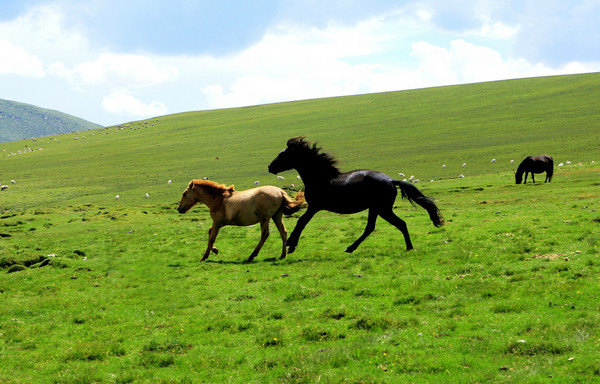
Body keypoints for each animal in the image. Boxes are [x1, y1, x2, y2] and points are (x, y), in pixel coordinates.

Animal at [266, 136, 440, 254]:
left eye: (283, 155)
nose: (270, 167)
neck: (320, 178)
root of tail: (391, 180)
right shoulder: (314, 207)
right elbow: (301, 222)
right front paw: (291, 244)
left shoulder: (314, 207)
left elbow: (301, 222)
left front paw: (290, 244)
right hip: (376, 209)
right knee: (373, 227)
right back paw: (352, 248)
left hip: (382, 209)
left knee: (398, 224)